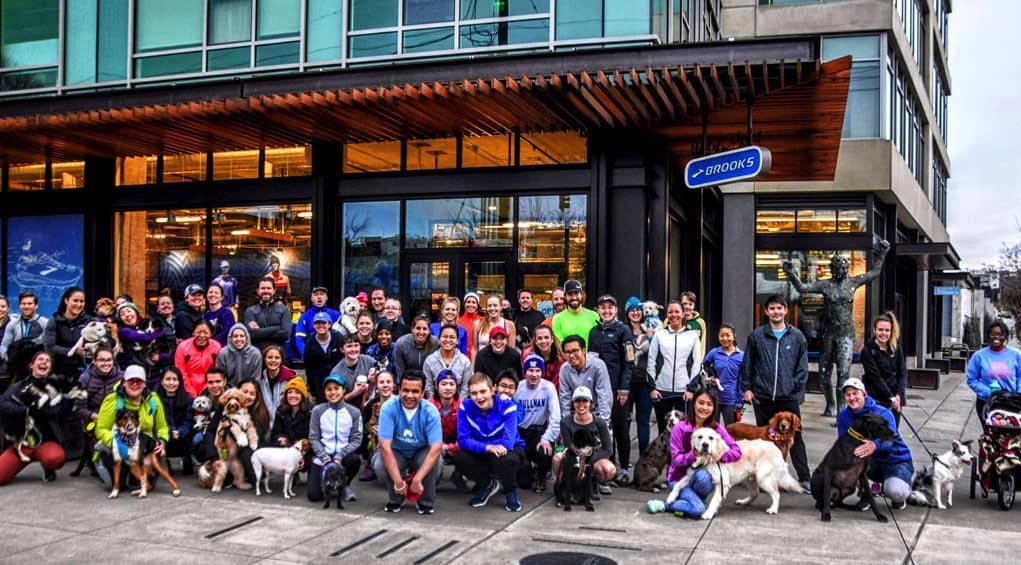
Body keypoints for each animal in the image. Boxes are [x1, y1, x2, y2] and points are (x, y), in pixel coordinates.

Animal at [669, 429, 804, 516]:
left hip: (763, 478)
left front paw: (708, 513)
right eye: (700, 437)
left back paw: (773, 509)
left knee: (776, 494)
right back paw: (744, 502)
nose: (705, 445)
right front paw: (671, 498)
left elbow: (714, 500)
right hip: (749, 478)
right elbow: (677, 485)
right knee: (755, 493)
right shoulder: (690, 474)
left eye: (711, 438)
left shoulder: (722, 483)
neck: (708, 458)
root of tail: (775, 447)